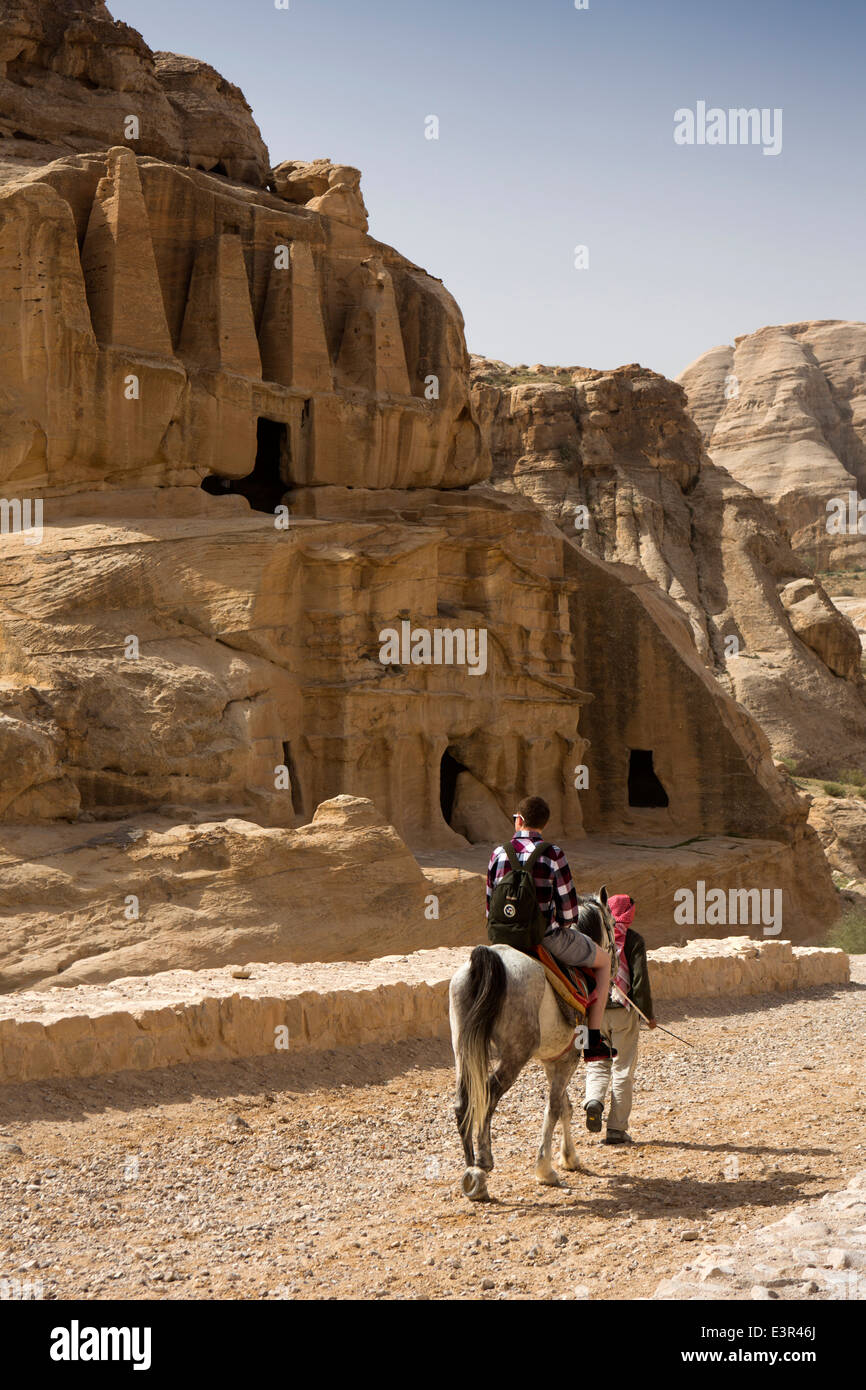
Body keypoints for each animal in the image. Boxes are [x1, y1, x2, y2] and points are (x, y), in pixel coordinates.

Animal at [447, 895, 617, 1200]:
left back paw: (471, 1170)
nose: (617, 966)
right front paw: (546, 1169)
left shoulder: (554, 1061)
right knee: (488, 1096)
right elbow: (554, 1108)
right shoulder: (567, 1059)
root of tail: (487, 959)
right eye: (612, 927)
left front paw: (569, 1157)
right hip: (514, 1055)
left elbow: (563, 1107)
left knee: (463, 1103)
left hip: (462, 1051)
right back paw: (483, 1163)